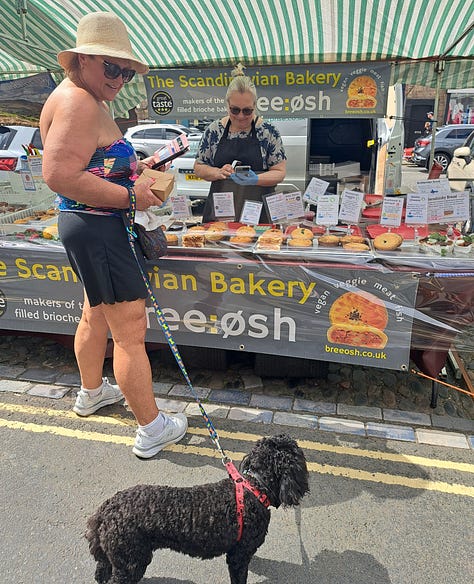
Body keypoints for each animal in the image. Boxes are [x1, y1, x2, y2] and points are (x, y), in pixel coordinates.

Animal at [86, 432, 308, 580]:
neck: (254, 486)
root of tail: (106, 510)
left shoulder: (238, 550)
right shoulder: (238, 557)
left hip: (114, 557)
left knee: (101, 571)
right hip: (132, 560)